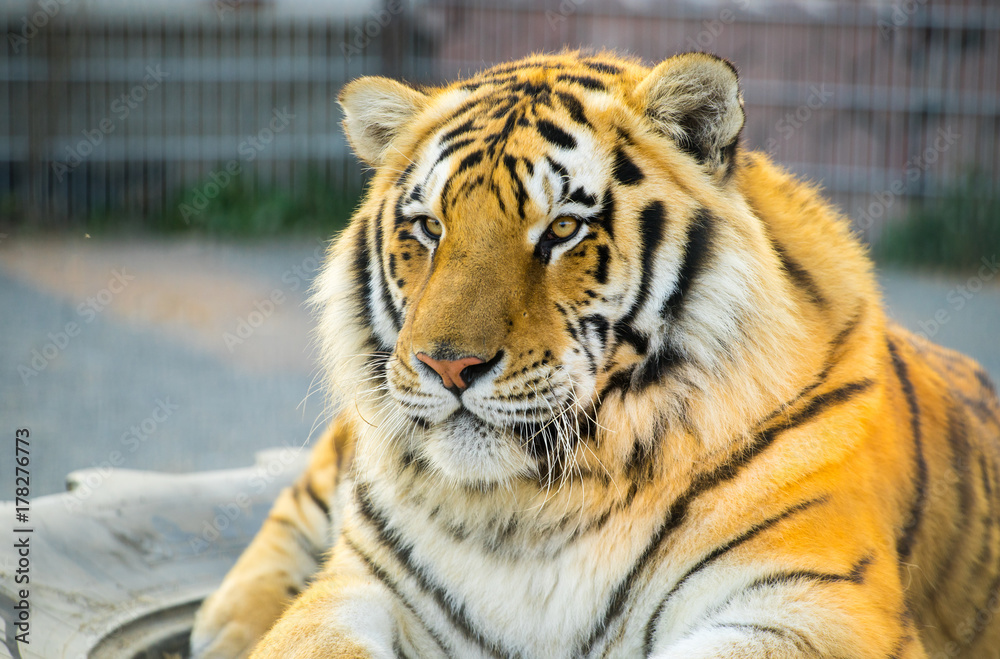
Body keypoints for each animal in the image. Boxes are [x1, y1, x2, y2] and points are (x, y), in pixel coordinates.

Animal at [189, 50, 1000, 659]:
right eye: (428, 228)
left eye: (562, 230)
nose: (448, 366)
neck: (532, 508)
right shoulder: (359, 586)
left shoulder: (810, 603)